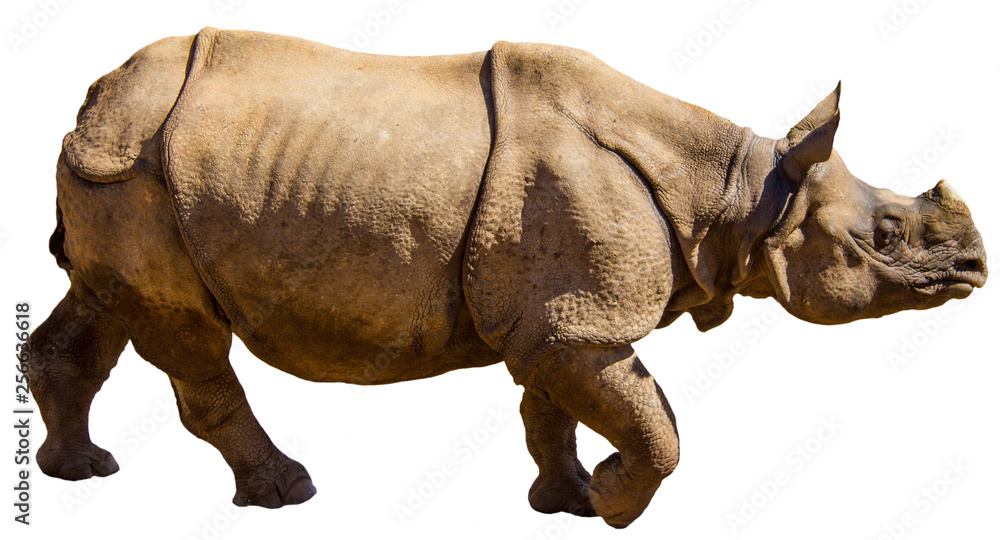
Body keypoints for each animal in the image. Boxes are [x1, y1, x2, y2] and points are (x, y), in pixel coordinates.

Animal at [29, 28, 986, 528]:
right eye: (887, 236)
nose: (976, 268)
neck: (740, 194)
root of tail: (96, 98)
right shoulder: (579, 321)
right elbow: (655, 427)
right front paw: (617, 501)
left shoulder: (555, 314)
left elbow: (548, 412)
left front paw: (567, 503)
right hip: (142, 170)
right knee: (185, 333)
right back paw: (286, 492)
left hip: (126, 172)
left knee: (105, 305)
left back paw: (82, 473)